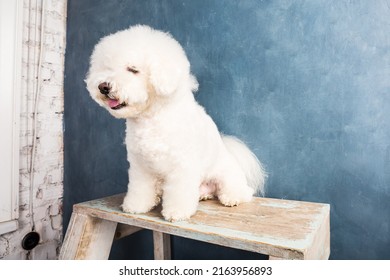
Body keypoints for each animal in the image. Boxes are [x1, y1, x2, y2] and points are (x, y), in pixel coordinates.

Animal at [85, 26, 266, 222]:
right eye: (107, 67)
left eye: (133, 69)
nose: (103, 86)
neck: (153, 118)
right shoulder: (141, 167)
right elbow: (140, 189)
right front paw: (136, 206)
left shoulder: (182, 165)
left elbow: (180, 193)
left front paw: (176, 213)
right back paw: (203, 195)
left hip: (226, 175)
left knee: (241, 190)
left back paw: (232, 198)